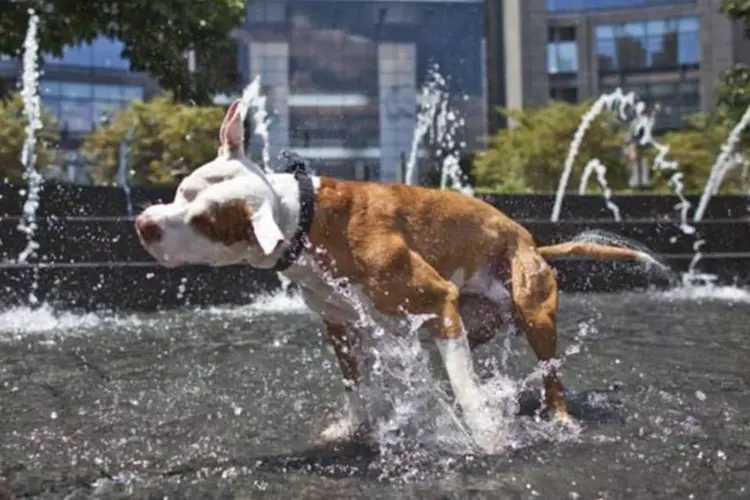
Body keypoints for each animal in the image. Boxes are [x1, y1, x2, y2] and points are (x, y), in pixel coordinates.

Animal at [137, 99, 664, 444]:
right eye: (182, 190)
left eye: (206, 222)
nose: (144, 224)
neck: (306, 219)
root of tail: (532, 240)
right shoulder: (341, 324)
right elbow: (357, 385)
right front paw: (354, 426)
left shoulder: (434, 297)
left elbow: (467, 393)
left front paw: (486, 436)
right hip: (468, 322)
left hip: (531, 312)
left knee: (547, 374)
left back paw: (559, 417)